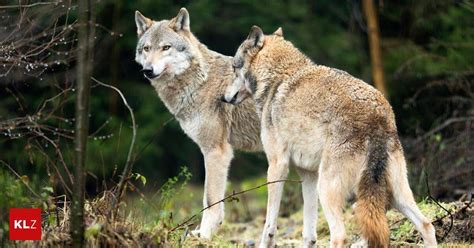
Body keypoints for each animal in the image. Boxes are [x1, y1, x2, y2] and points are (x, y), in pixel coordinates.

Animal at [134, 8, 262, 238]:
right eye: (146, 49)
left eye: (166, 47)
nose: (148, 70)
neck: (199, 81)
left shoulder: (216, 152)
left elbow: (210, 200)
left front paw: (205, 235)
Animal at [222, 26, 436, 247]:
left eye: (234, 67)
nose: (223, 97)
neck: (276, 78)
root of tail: (377, 117)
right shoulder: (308, 175)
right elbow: (309, 233)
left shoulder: (277, 165)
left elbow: (269, 226)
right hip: (394, 194)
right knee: (426, 225)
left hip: (327, 189)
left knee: (340, 236)